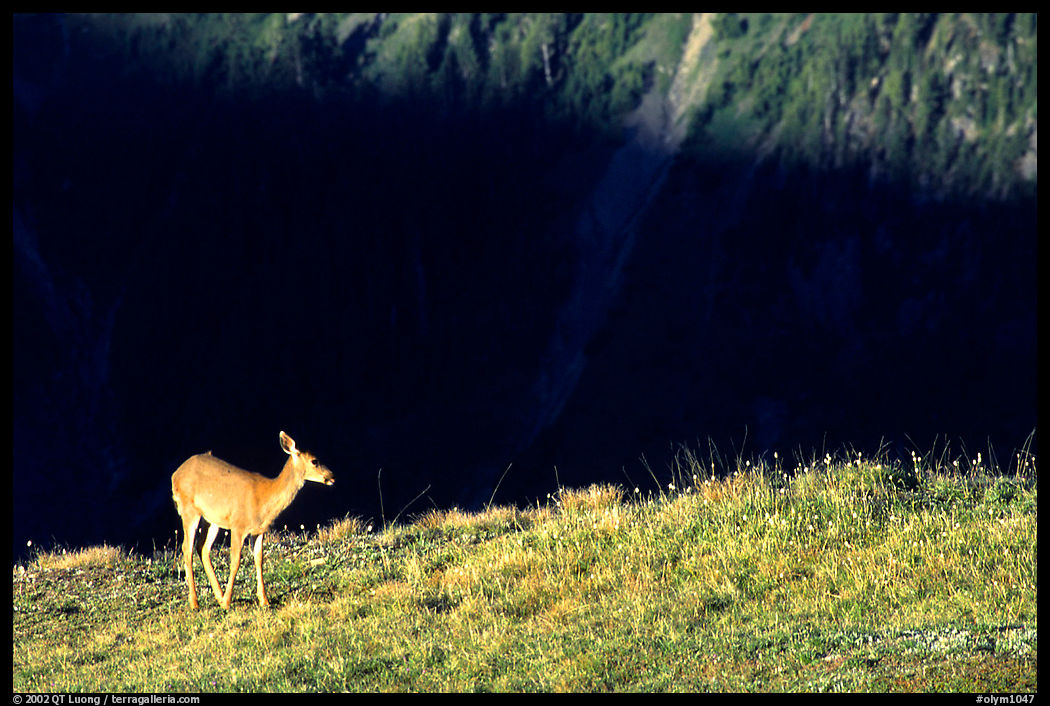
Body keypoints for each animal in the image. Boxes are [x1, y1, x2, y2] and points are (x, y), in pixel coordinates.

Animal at [171, 431, 335, 610]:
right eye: (314, 461)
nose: (332, 476)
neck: (264, 500)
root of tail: (175, 475)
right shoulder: (238, 525)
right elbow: (235, 561)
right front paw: (228, 602)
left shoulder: (259, 531)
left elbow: (259, 560)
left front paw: (264, 600)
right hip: (189, 509)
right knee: (187, 548)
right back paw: (195, 602)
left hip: (212, 518)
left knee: (202, 547)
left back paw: (218, 596)